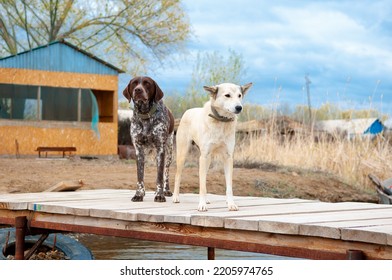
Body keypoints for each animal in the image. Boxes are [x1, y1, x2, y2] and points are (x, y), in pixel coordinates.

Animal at [172, 82, 253, 211]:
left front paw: (231, 204)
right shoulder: (204, 156)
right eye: (227, 95)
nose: (239, 107)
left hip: (208, 159)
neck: (222, 122)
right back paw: (176, 197)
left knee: (203, 178)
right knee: (178, 176)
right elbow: (202, 186)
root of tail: (188, 111)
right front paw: (202, 205)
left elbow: (228, 186)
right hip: (183, 155)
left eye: (239, 95)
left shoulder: (228, 157)